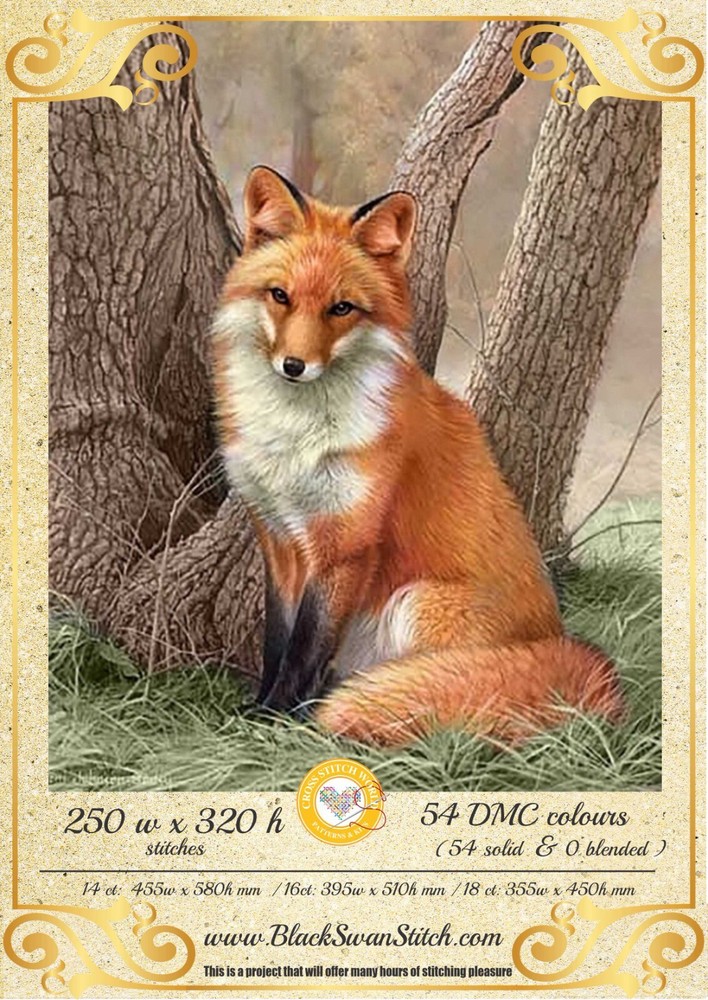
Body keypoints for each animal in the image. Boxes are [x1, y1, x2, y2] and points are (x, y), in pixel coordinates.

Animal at [211, 165, 625, 747]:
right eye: (280, 296)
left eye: (341, 308)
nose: (293, 365)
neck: (296, 439)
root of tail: (559, 643)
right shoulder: (278, 538)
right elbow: (278, 641)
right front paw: (260, 706)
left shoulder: (344, 546)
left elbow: (306, 647)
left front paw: (278, 719)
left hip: (416, 604)